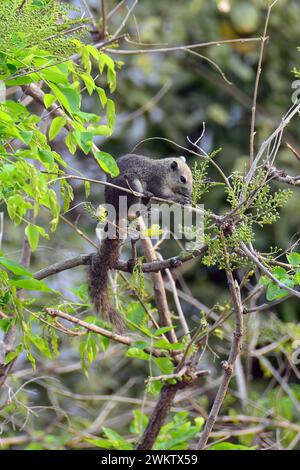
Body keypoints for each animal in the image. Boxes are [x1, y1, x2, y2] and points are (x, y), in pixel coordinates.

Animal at [88, 154, 193, 330]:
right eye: (183, 179)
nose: (190, 193)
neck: (164, 171)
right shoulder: (157, 182)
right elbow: (165, 195)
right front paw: (181, 199)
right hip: (131, 184)